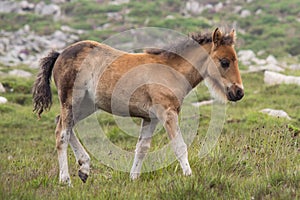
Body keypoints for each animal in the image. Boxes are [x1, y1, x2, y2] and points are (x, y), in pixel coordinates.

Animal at [32, 27, 244, 185]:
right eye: (224, 62)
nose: (239, 92)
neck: (171, 71)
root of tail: (60, 54)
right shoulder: (167, 113)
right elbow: (179, 145)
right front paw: (189, 176)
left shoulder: (150, 118)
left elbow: (142, 148)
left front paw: (133, 178)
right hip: (71, 101)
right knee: (62, 133)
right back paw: (65, 180)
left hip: (86, 105)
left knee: (64, 125)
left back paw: (84, 168)